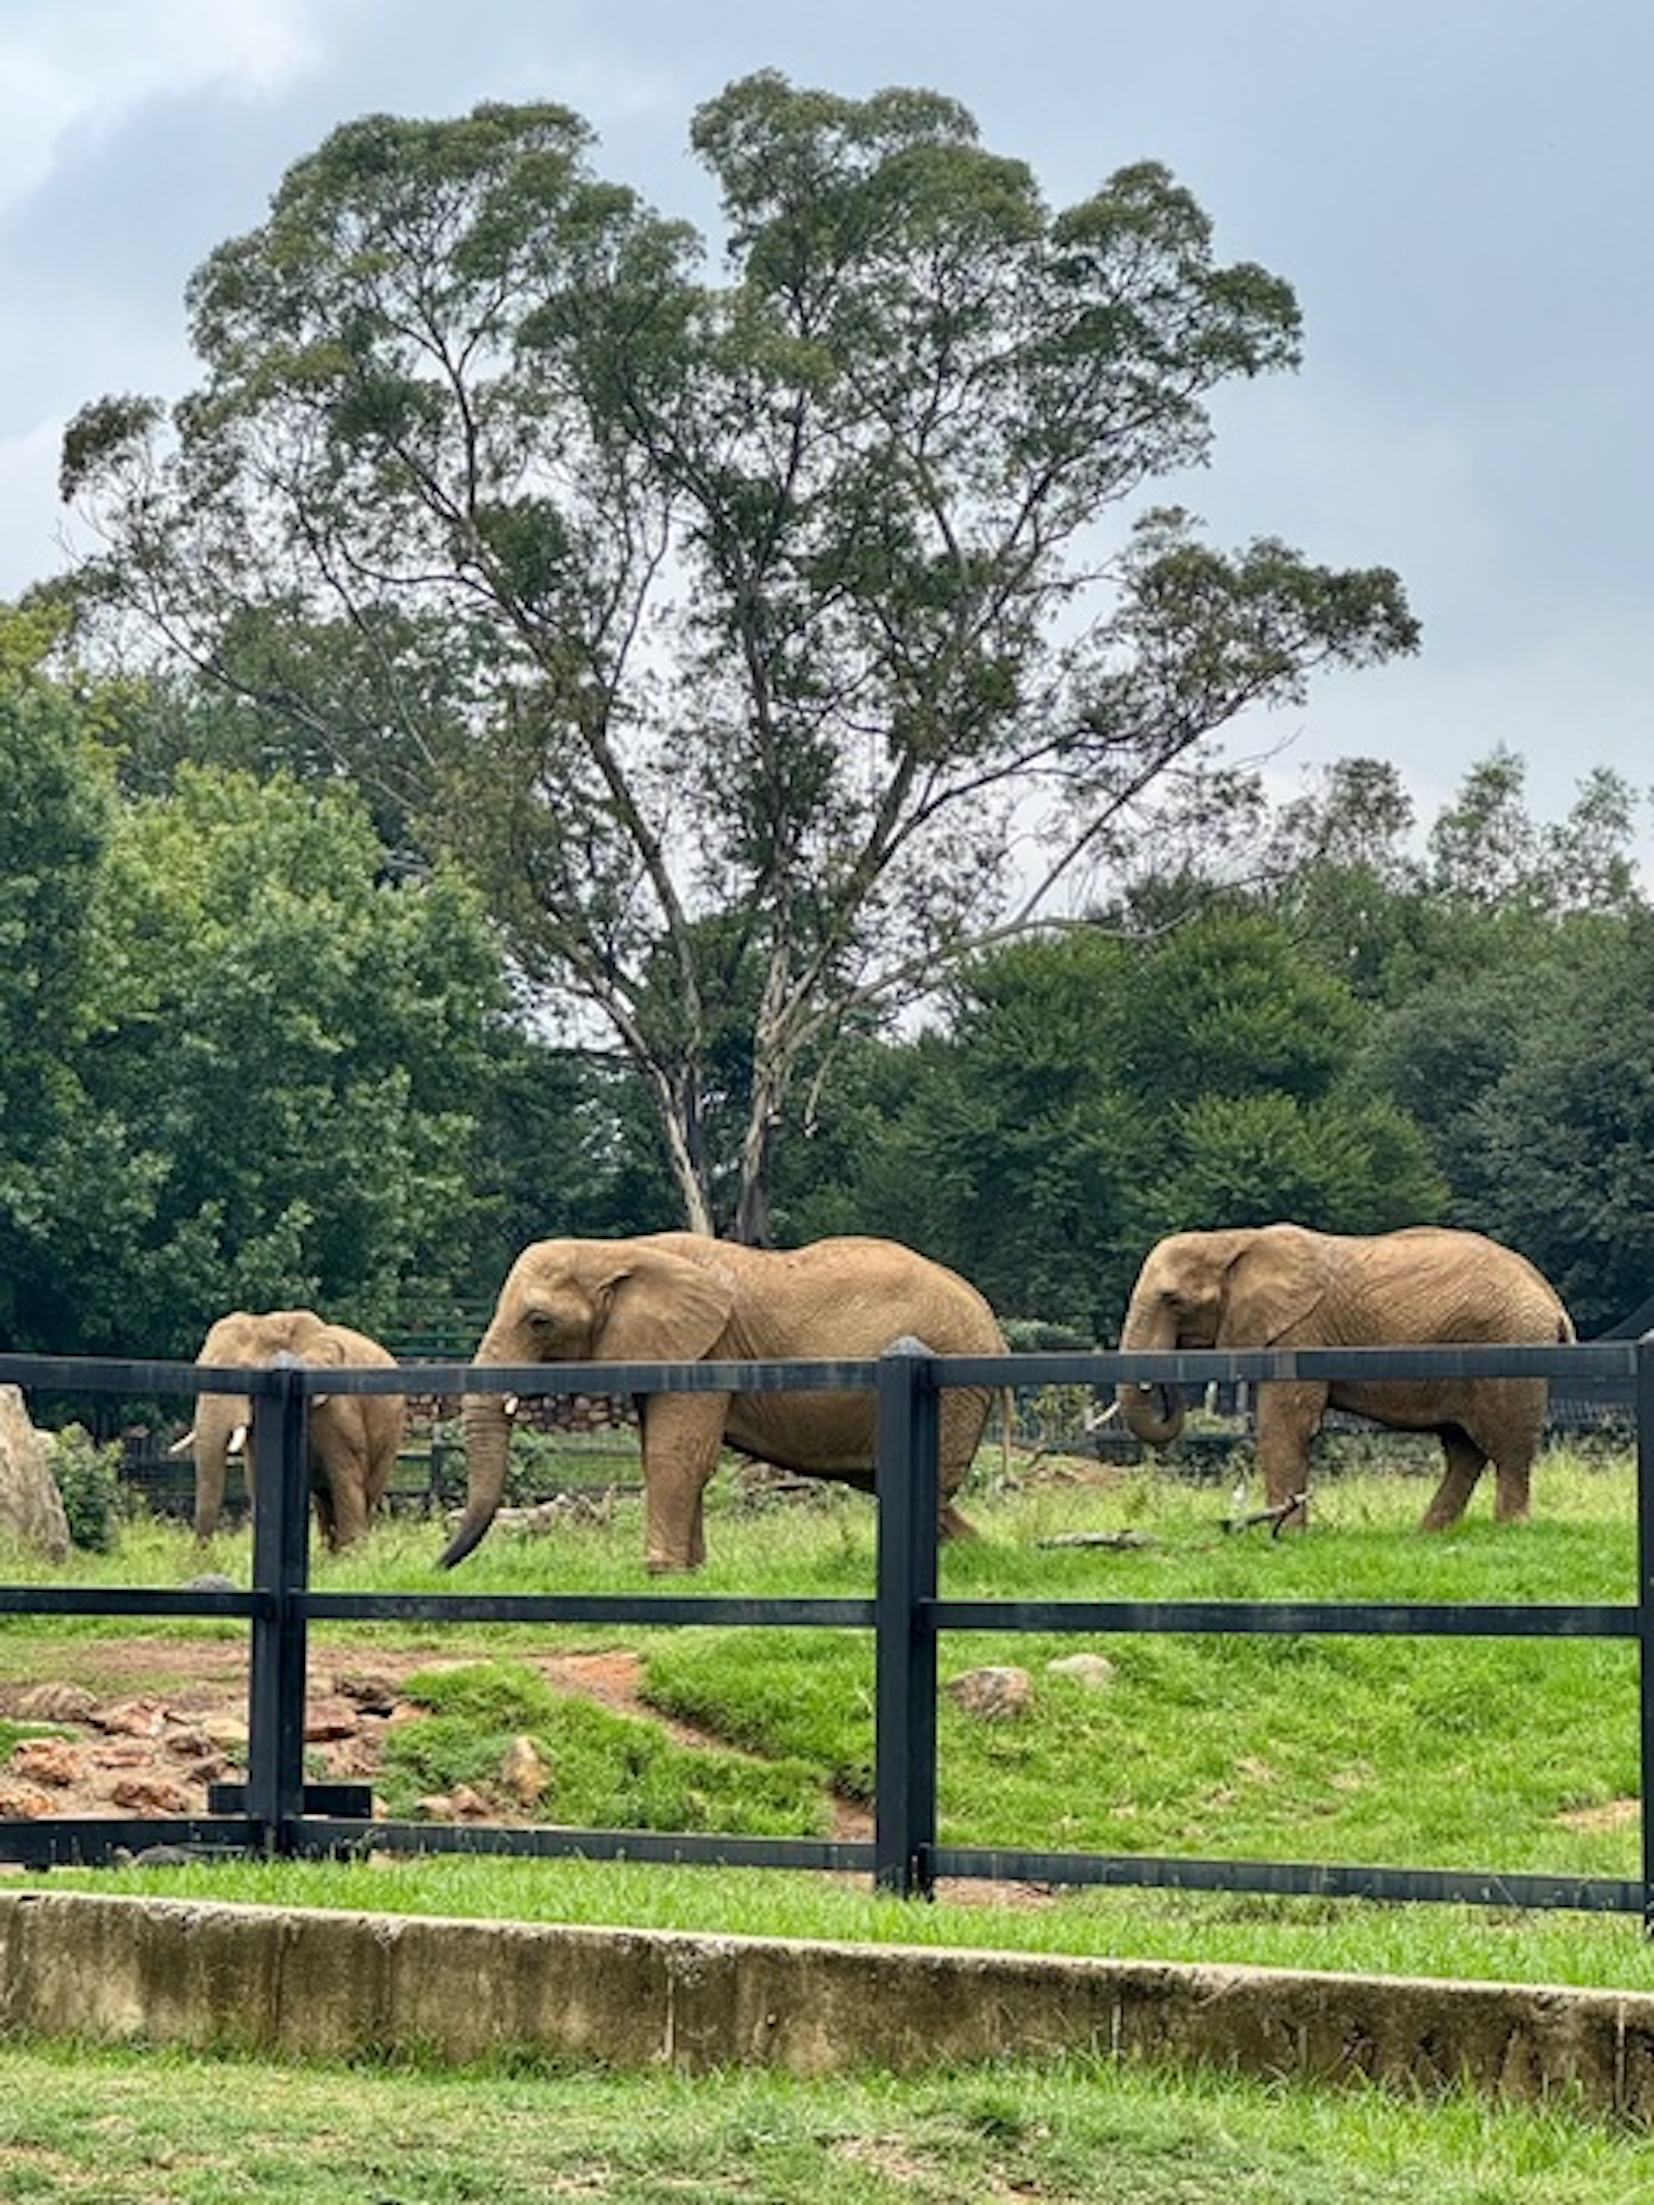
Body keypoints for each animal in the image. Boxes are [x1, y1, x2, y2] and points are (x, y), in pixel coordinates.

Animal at [177, 1309, 407, 1548]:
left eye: (247, 1372)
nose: (202, 1553)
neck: (271, 1323)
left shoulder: (339, 1408)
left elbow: (346, 1476)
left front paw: (352, 1554)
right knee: (324, 1498)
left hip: (391, 1430)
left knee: (363, 1491)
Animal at [438, 1232, 1007, 1574]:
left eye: (539, 1321)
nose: (436, 1567)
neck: (618, 1250)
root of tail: (992, 1323)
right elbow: (665, 1452)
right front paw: (690, 1573)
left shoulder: (709, 1349)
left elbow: (677, 1454)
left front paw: (659, 1572)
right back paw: (978, 1554)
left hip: (953, 1382)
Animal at [1115, 1224, 1575, 1530]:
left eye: (1173, 1300)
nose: (1167, 1382)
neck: (1232, 1240)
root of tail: (1552, 1300)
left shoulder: (1300, 1334)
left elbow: (1285, 1424)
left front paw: (1285, 1535)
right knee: (1463, 1448)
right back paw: (1427, 1533)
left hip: (1511, 1347)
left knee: (1508, 1448)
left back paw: (1509, 1528)